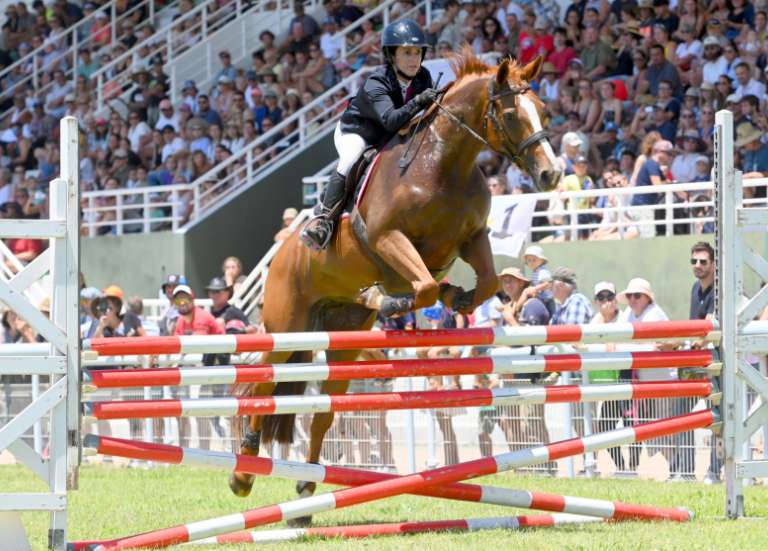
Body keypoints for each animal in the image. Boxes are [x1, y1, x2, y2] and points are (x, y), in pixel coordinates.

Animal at [228, 49, 560, 524]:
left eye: (545, 111)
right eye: (512, 113)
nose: (552, 175)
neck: (444, 163)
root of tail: (281, 251)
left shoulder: (472, 238)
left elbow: (484, 281)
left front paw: (454, 296)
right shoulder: (389, 239)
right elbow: (422, 285)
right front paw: (397, 298)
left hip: (343, 340)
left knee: (322, 414)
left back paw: (306, 492)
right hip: (286, 326)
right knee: (263, 386)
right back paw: (243, 471)